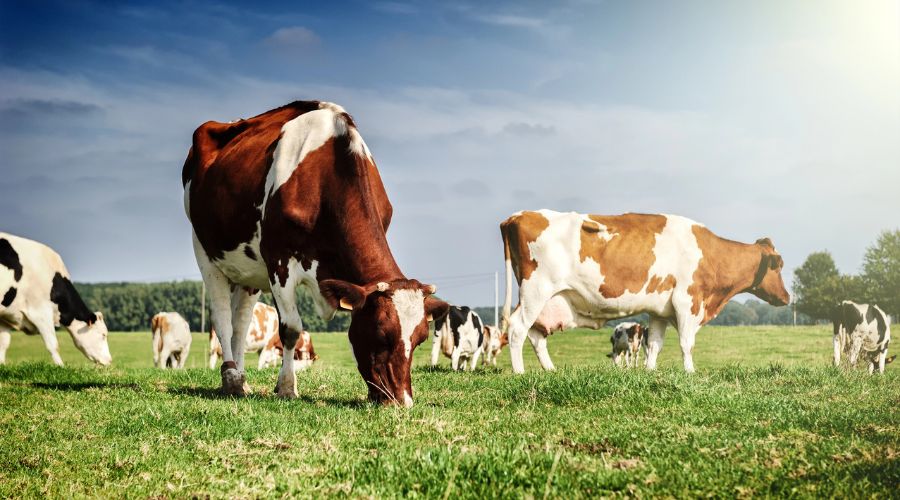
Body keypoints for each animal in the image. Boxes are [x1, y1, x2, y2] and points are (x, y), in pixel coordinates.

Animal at [0, 232, 111, 366]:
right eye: (103, 335)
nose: (110, 360)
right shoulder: (40, 312)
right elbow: (53, 345)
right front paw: (60, 366)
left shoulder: (6, 316)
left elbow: (3, 344)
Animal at [183, 99, 450, 404]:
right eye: (382, 334)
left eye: (420, 338)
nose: (402, 401)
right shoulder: (279, 261)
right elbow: (290, 328)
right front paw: (287, 387)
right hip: (205, 251)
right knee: (222, 318)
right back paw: (230, 378)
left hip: (248, 269)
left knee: (241, 323)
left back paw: (241, 380)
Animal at [500, 209, 788, 374]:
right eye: (779, 265)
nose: (787, 296)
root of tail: (518, 215)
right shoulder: (687, 301)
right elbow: (687, 343)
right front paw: (690, 372)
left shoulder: (660, 309)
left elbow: (655, 345)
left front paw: (650, 372)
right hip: (536, 290)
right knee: (517, 329)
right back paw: (520, 373)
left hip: (546, 299)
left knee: (536, 334)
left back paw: (550, 370)